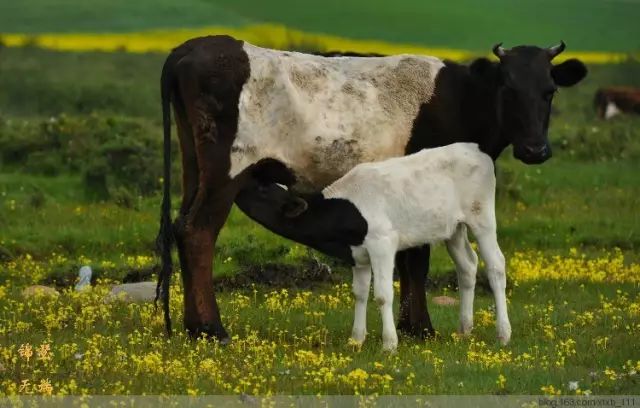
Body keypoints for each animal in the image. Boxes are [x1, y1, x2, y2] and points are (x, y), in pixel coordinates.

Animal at [155, 35, 584, 342]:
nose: (535, 149)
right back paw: (211, 329)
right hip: (227, 169)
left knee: (181, 226)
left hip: (194, 166)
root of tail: (189, 48)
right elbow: (416, 260)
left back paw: (193, 327)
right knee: (198, 231)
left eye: (549, 91)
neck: (460, 97)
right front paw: (420, 328)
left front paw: (412, 326)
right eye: (508, 89)